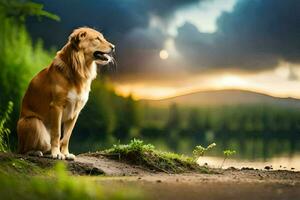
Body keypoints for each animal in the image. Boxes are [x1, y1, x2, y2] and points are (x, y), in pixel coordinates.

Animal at [17, 27, 115, 160]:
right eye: (97, 38)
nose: (114, 47)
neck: (79, 69)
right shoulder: (57, 106)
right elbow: (57, 133)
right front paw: (56, 153)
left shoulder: (75, 111)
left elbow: (67, 136)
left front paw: (65, 153)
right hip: (34, 122)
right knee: (23, 150)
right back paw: (35, 152)